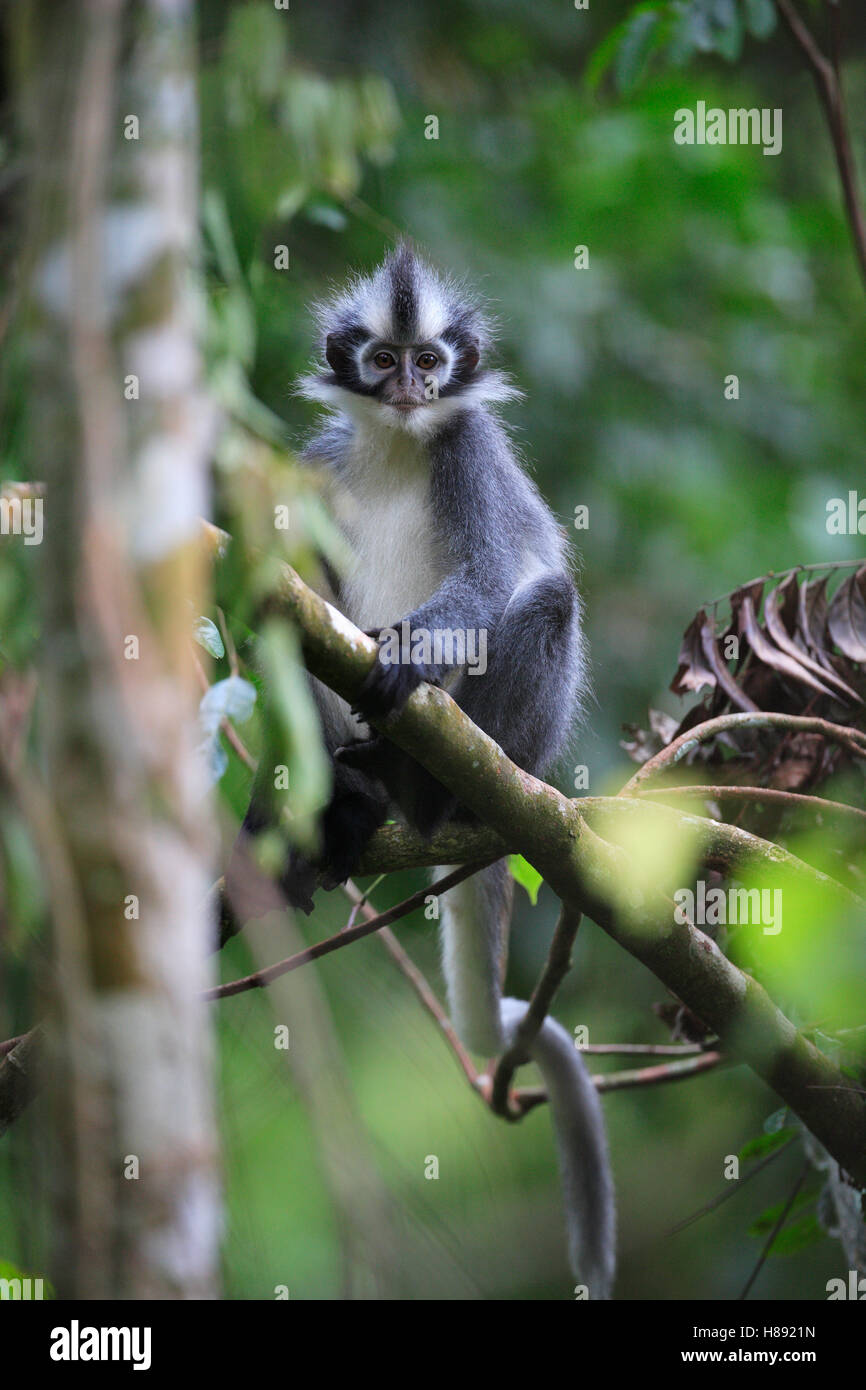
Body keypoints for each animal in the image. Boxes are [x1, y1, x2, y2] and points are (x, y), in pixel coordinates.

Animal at [238, 244, 616, 1297]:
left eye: (431, 362)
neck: (402, 447)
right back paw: (348, 804)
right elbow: (282, 602)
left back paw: (420, 784)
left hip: (516, 747)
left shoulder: (470, 449)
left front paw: (404, 655)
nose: (410, 388)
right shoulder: (322, 466)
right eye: (382, 359)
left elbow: (488, 581)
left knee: (549, 597)